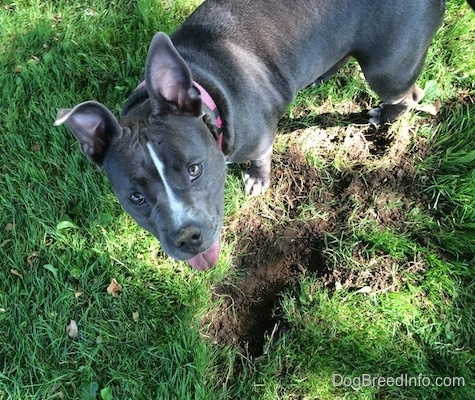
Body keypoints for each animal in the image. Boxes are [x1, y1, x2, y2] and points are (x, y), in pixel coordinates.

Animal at [54, 0, 474, 272]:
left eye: (194, 169)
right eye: (136, 197)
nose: (187, 237)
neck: (207, 84)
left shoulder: (258, 141)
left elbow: (260, 159)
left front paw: (257, 180)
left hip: (388, 69)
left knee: (409, 96)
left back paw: (386, 117)